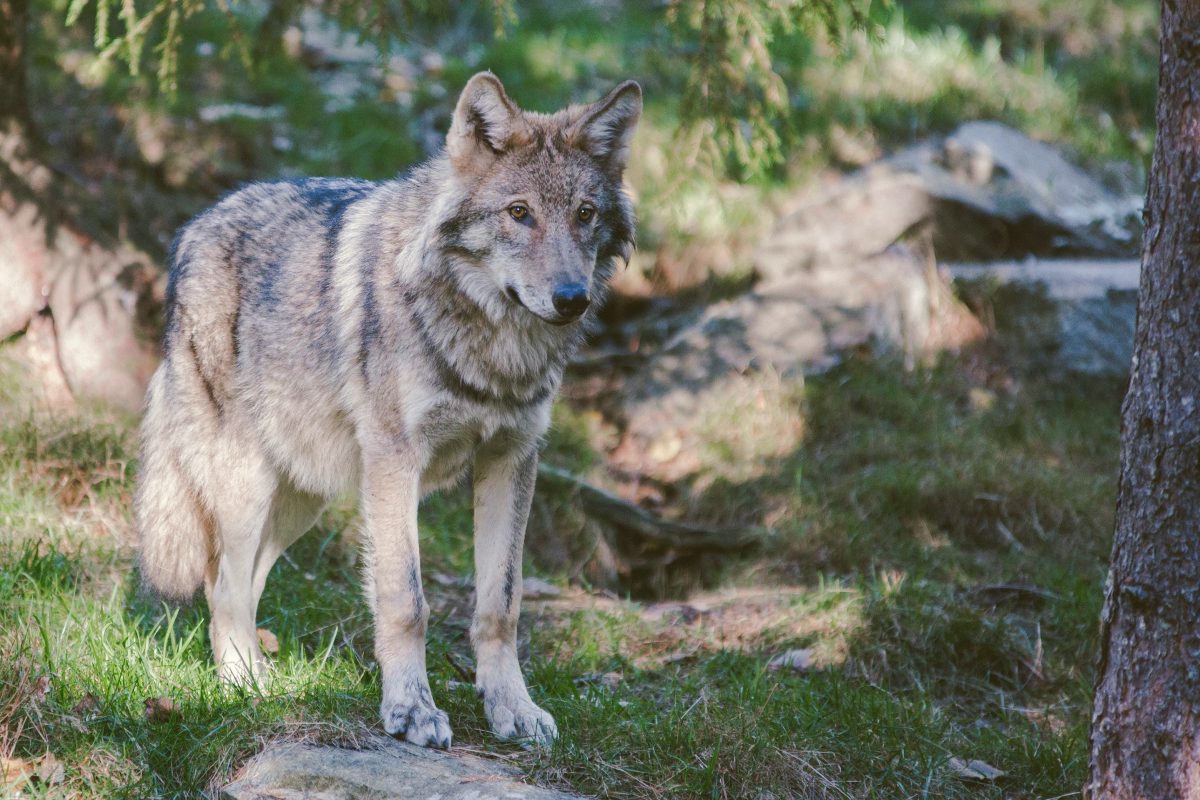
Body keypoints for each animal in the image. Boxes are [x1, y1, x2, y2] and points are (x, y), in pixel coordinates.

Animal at [134, 72, 640, 748]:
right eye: (519, 213)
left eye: (585, 214)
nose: (571, 299)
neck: (492, 349)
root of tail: (193, 228)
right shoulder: (398, 462)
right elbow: (406, 601)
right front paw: (412, 710)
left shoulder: (512, 459)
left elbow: (500, 605)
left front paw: (512, 708)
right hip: (246, 485)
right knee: (222, 588)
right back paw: (245, 688)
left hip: (303, 498)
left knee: (244, 582)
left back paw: (263, 678)